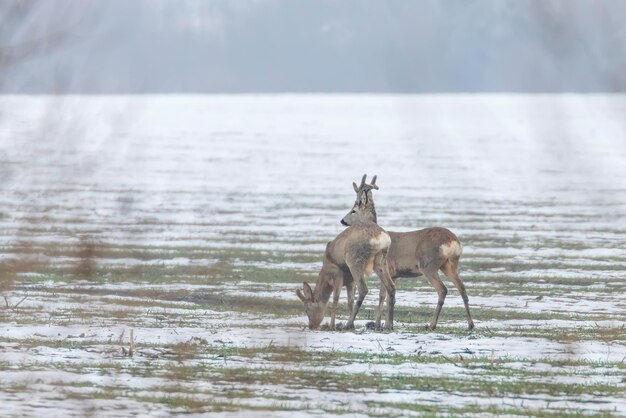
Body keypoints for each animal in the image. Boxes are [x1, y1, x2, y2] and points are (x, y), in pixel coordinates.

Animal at [342, 174, 472, 330]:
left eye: (354, 209)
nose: (342, 221)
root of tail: (453, 241)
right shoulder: (395, 274)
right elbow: (388, 297)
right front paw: (385, 323)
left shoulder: (387, 268)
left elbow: (382, 296)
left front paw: (379, 324)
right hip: (449, 264)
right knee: (462, 288)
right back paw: (470, 324)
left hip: (429, 265)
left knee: (443, 290)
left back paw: (432, 324)